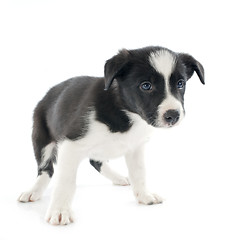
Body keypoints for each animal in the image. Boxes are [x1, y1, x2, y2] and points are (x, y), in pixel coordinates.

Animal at [18, 46, 204, 224]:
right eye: (146, 86)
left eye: (180, 84)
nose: (173, 115)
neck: (126, 113)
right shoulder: (71, 145)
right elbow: (66, 182)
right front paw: (59, 211)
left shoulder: (135, 147)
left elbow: (139, 173)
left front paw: (144, 195)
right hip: (41, 138)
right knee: (45, 169)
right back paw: (34, 191)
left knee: (96, 161)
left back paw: (118, 177)